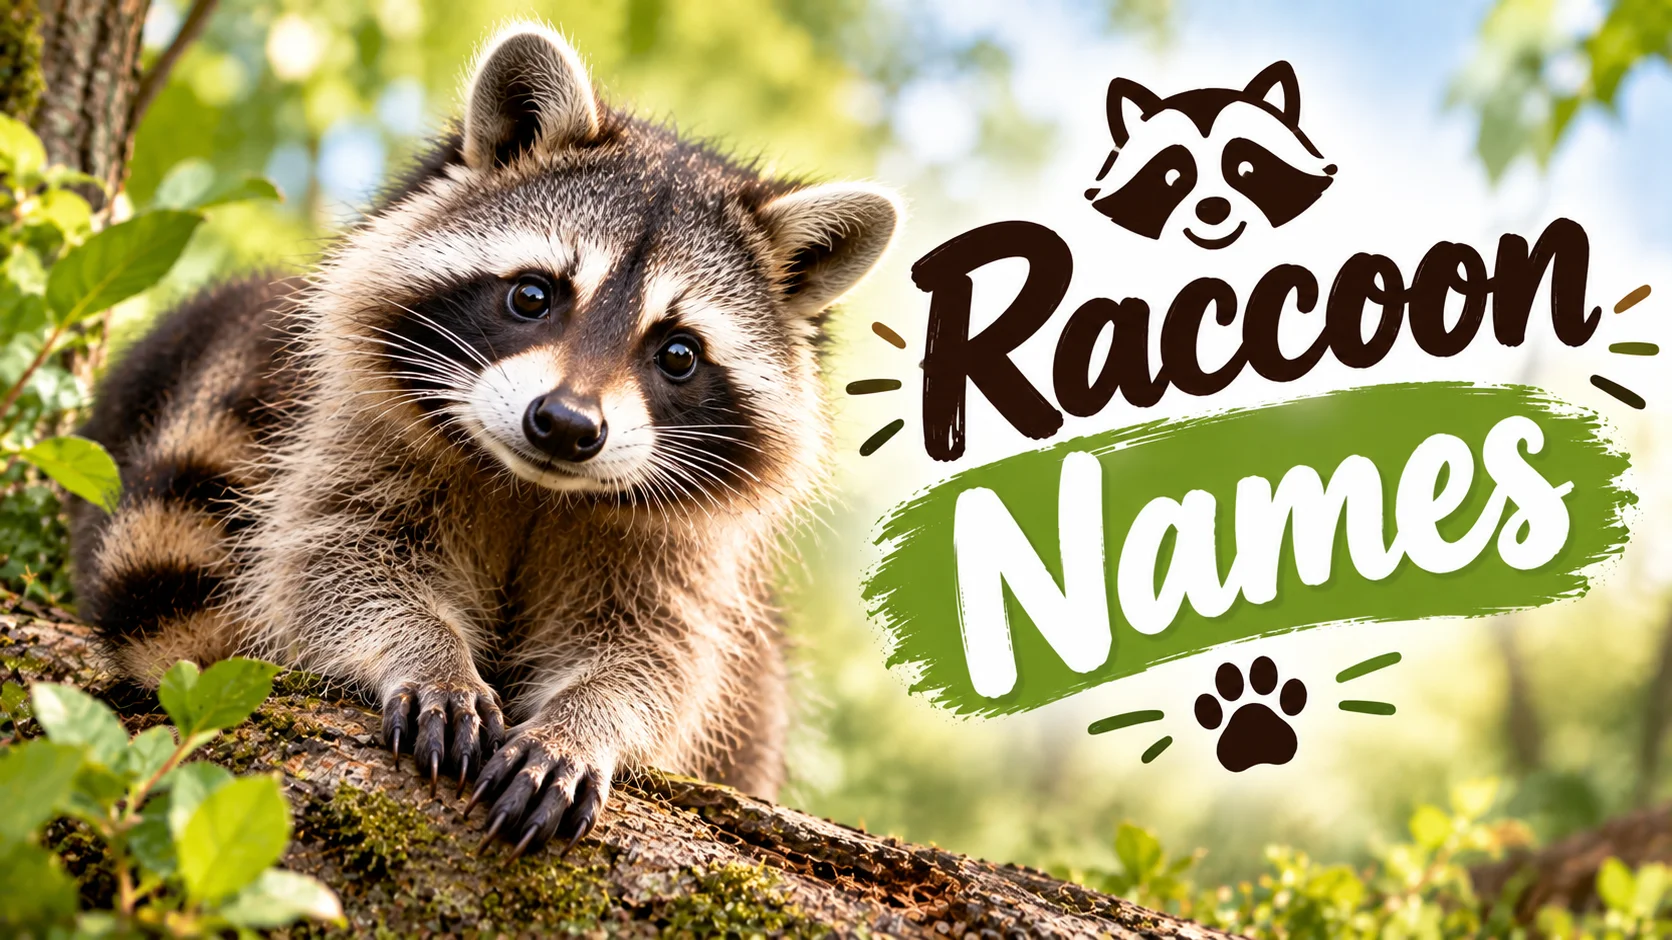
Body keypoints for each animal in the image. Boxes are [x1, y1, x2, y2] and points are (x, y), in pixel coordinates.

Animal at [68, 23, 900, 856]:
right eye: (533, 294)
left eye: (678, 354)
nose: (566, 425)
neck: (535, 488)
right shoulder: (350, 442)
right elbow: (337, 563)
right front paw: (427, 652)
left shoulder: (677, 559)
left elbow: (653, 661)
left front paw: (584, 721)